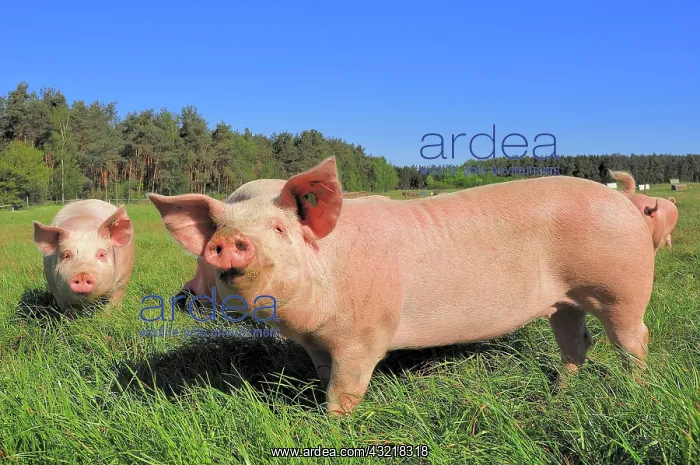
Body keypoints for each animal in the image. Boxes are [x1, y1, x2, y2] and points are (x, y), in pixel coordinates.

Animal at [149, 158, 654, 415]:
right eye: (219, 229)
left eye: (278, 228)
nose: (230, 242)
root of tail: (626, 201)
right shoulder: (315, 343)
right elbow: (323, 376)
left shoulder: (363, 337)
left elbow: (345, 390)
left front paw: (332, 427)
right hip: (564, 302)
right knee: (578, 342)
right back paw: (558, 393)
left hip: (622, 289)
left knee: (633, 340)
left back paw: (634, 391)